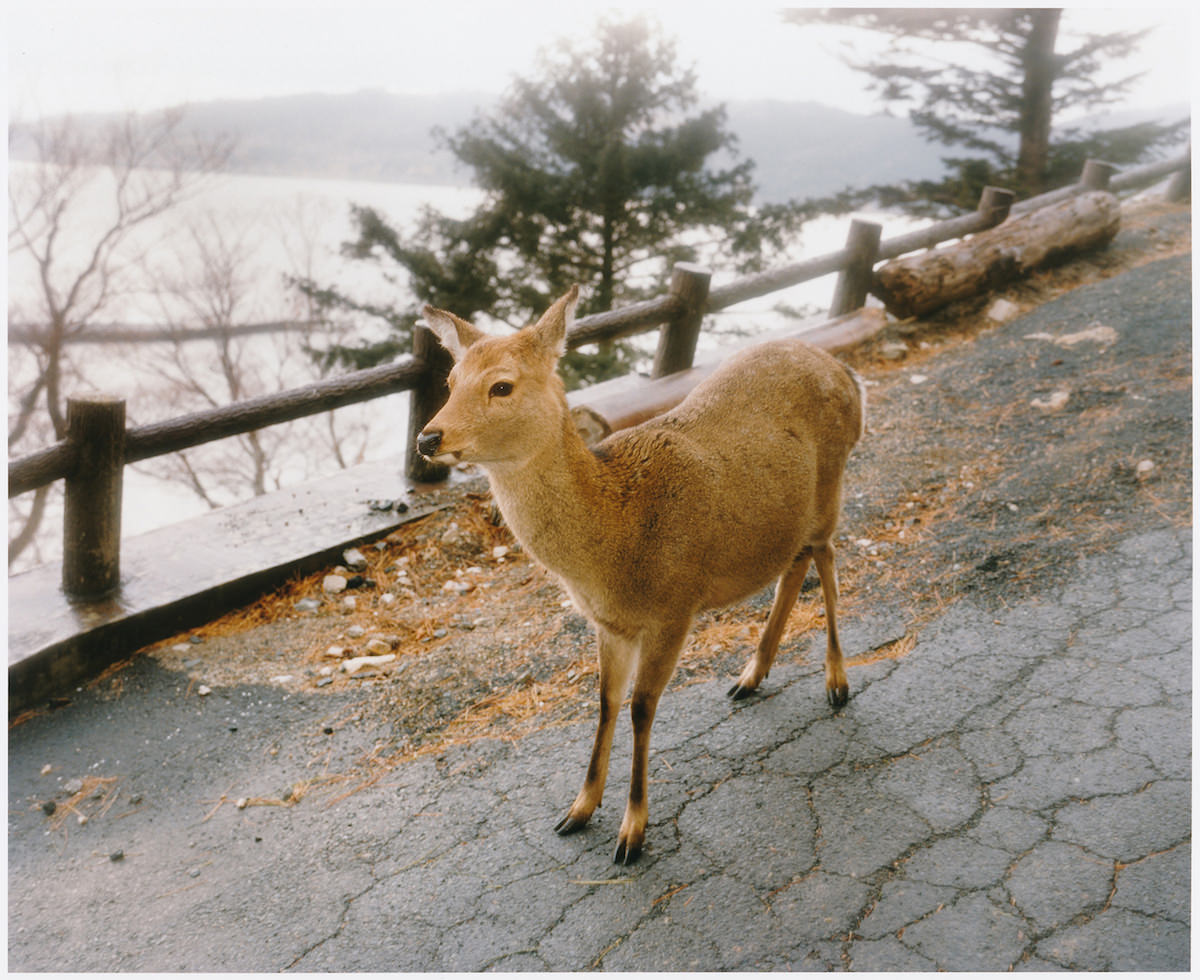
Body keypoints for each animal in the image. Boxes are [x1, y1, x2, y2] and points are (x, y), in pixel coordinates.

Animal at [417, 284, 868, 863]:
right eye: (450, 382)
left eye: (501, 385)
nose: (429, 438)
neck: (615, 543)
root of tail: (847, 375)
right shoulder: (610, 624)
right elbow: (606, 702)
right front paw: (578, 810)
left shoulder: (675, 606)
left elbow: (642, 708)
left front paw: (632, 832)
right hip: (787, 516)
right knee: (795, 565)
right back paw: (750, 676)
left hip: (831, 485)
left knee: (827, 556)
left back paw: (836, 681)